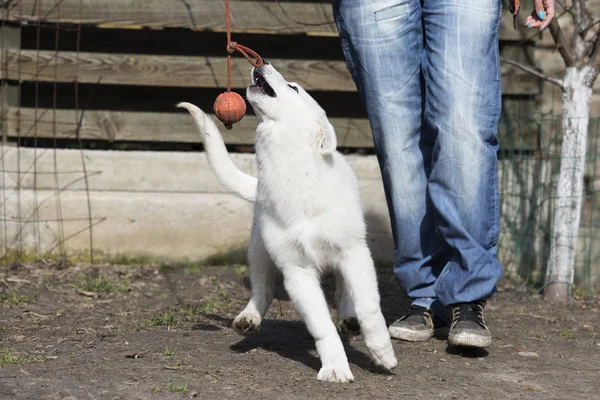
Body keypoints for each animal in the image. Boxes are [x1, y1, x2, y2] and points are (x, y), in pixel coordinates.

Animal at [176, 61, 396, 382]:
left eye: (293, 87)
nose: (261, 63)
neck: (290, 170)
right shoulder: (297, 272)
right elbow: (321, 326)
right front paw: (334, 367)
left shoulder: (353, 253)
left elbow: (369, 307)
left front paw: (382, 353)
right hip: (258, 249)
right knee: (263, 288)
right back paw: (249, 317)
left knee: (344, 290)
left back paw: (349, 317)